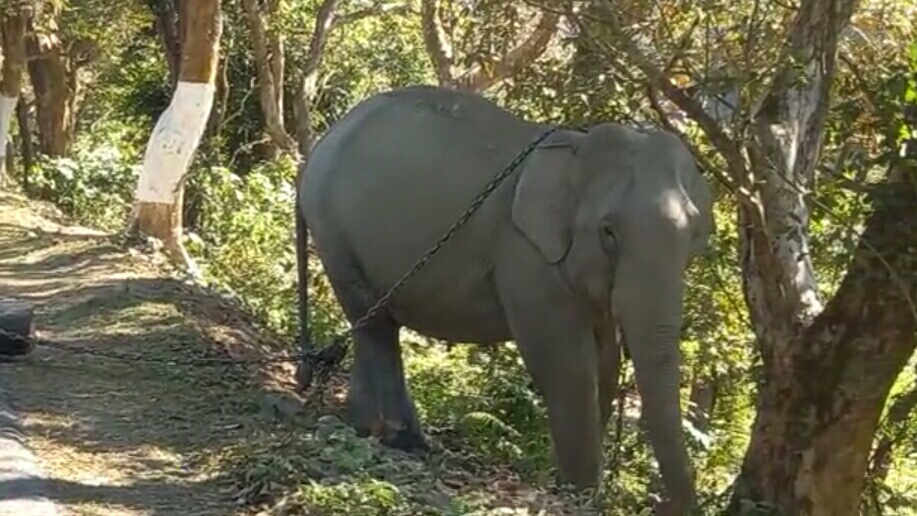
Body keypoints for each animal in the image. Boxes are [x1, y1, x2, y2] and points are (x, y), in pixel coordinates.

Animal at [296, 84, 716, 512]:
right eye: (608, 232)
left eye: (697, 236)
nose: (670, 506)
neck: (577, 148)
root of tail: (320, 146)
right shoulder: (526, 253)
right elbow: (568, 363)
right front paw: (577, 493)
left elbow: (607, 363)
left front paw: (581, 490)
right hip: (333, 228)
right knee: (375, 323)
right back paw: (403, 440)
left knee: (376, 322)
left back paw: (371, 429)